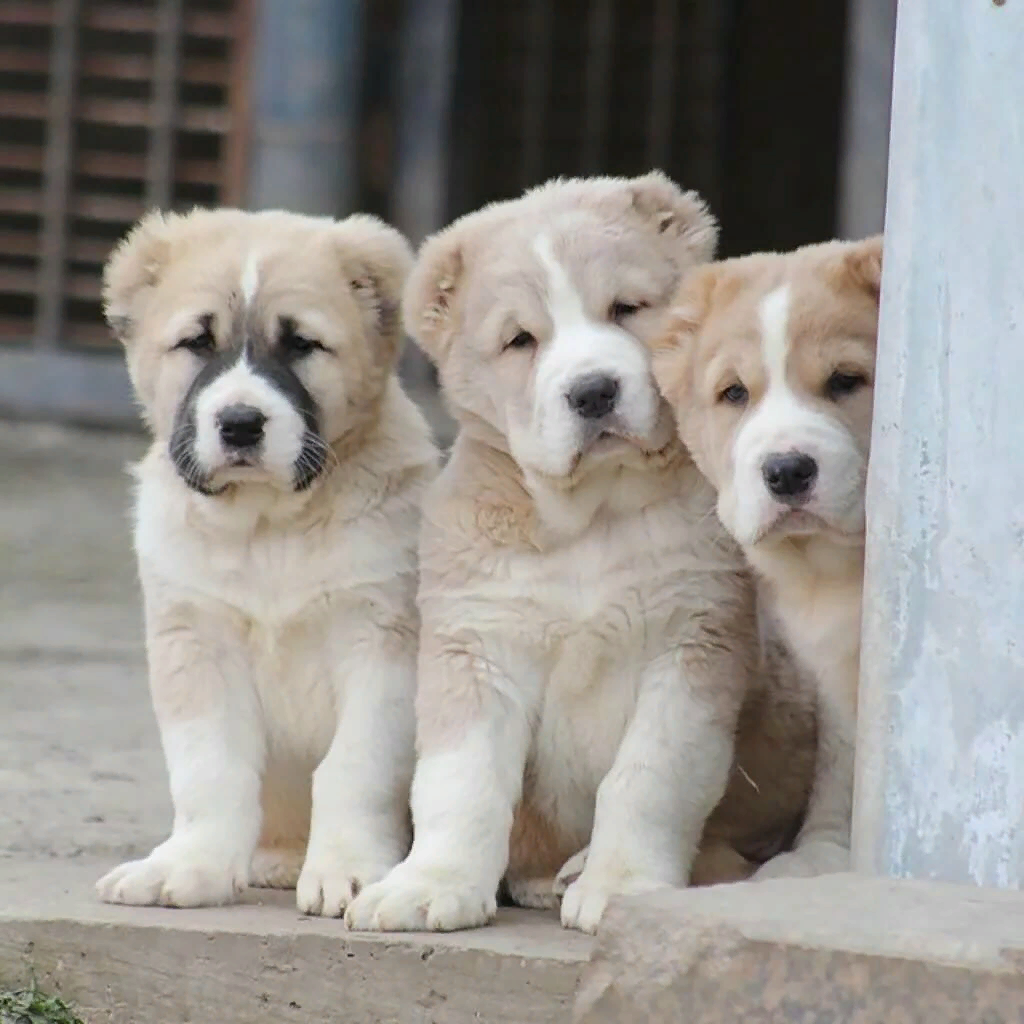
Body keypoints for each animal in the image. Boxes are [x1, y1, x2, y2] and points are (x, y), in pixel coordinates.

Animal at [91, 207, 436, 913]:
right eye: (197, 342)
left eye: (301, 343)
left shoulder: (383, 644)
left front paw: (348, 869)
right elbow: (210, 770)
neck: (270, 528)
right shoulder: (196, 641)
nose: (241, 423)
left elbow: (353, 769)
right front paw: (190, 866)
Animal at [344, 169, 815, 937]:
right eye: (520, 340)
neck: (591, 520)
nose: (593, 391)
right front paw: (429, 885)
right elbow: (459, 779)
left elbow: (648, 778)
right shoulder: (477, 642)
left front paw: (620, 887)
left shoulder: (693, 643)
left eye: (627, 308)